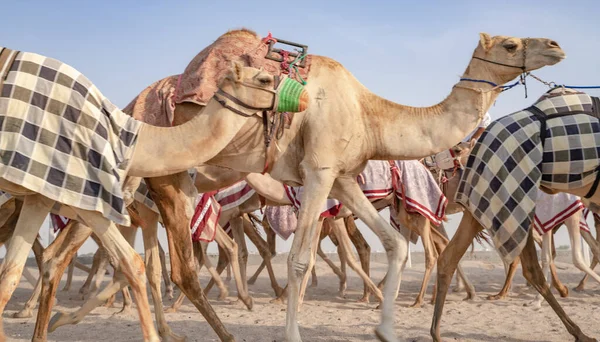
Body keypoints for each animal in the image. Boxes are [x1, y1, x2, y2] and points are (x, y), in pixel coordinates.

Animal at [0, 41, 310, 340]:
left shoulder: (48, 195)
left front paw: (167, 328)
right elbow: (153, 267)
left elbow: (12, 273)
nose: (305, 97)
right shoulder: (98, 193)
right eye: (264, 78)